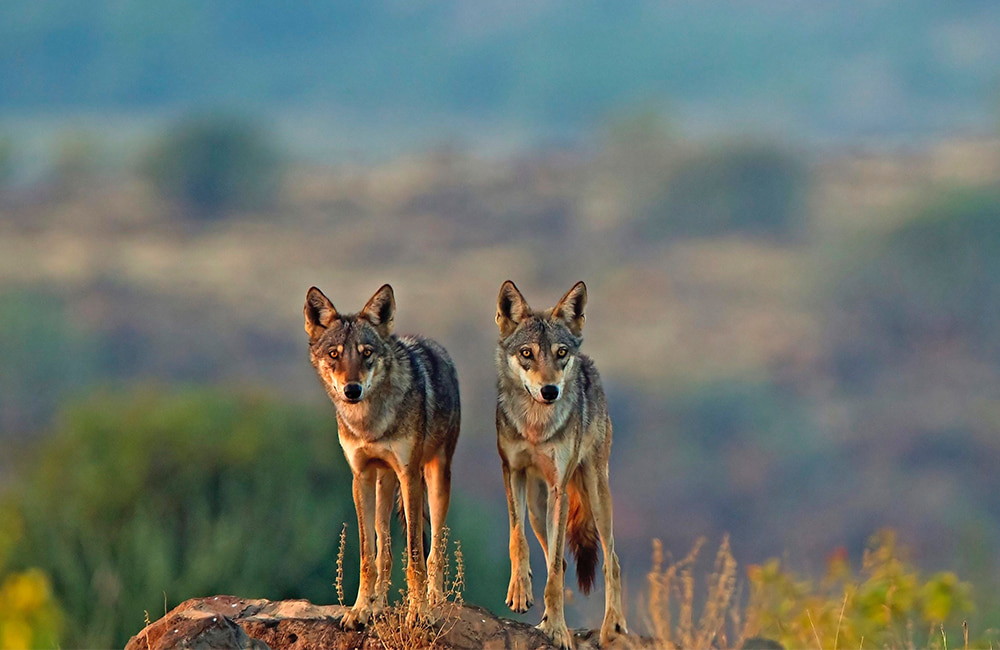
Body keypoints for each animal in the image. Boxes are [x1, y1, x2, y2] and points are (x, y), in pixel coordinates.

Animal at [304, 284, 460, 628]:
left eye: (366, 353)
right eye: (334, 354)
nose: (352, 390)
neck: (370, 423)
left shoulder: (409, 475)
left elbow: (415, 554)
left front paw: (418, 612)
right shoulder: (360, 476)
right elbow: (367, 554)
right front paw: (361, 609)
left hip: (435, 480)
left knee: (435, 550)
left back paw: (436, 602)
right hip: (382, 485)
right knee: (384, 551)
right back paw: (378, 606)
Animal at [496, 280, 628, 648]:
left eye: (560, 353)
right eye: (527, 353)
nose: (550, 390)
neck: (536, 426)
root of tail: (589, 364)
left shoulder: (559, 490)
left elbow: (554, 572)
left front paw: (556, 630)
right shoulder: (512, 473)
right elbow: (517, 540)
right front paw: (520, 592)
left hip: (595, 495)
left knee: (612, 560)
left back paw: (612, 627)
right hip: (538, 509)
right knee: (564, 561)